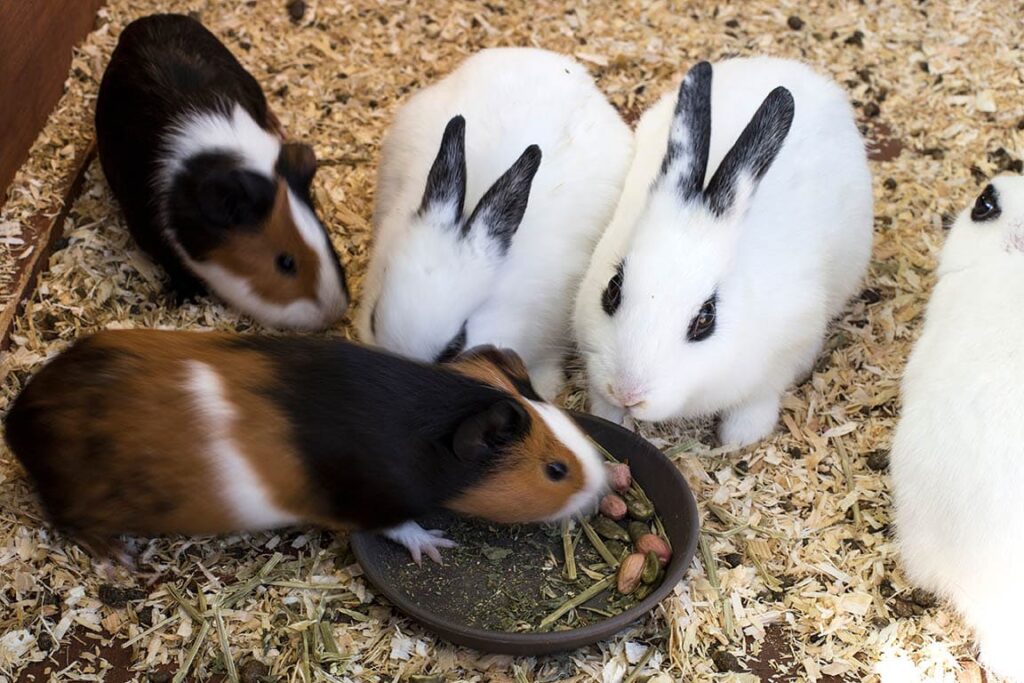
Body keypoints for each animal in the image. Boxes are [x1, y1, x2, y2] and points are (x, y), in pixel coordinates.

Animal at [3, 330, 607, 565]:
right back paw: (119, 561)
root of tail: (20, 417)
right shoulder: (368, 500)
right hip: (82, 502)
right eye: (556, 470)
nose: (603, 484)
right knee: (71, 523)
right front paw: (436, 547)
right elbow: (398, 526)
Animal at [95, 14, 349, 331]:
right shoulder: (146, 229)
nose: (334, 311)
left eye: (326, 235)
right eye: (285, 262)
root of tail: (144, 21)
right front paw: (187, 295)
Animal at [574, 57, 873, 446]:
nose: (628, 393)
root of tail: (796, 68)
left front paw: (739, 440)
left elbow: (756, 402)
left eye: (706, 318)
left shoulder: (784, 355)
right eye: (612, 289)